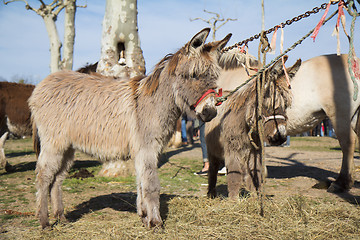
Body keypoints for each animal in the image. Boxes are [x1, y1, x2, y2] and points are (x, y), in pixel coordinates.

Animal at [28, 28, 231, 229]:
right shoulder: (147, 148)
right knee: (44, 176)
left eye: (214, 78)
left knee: (57, 178)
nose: (210, 112)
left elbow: (141, 182)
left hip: (67, 147)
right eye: (194, 75)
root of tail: (43, 85)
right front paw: (155, 222)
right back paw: (44, 221)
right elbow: (151, 184)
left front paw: (144, 216)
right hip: (54, 143)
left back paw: (61, 217)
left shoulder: (148, 150)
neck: (153, 103)